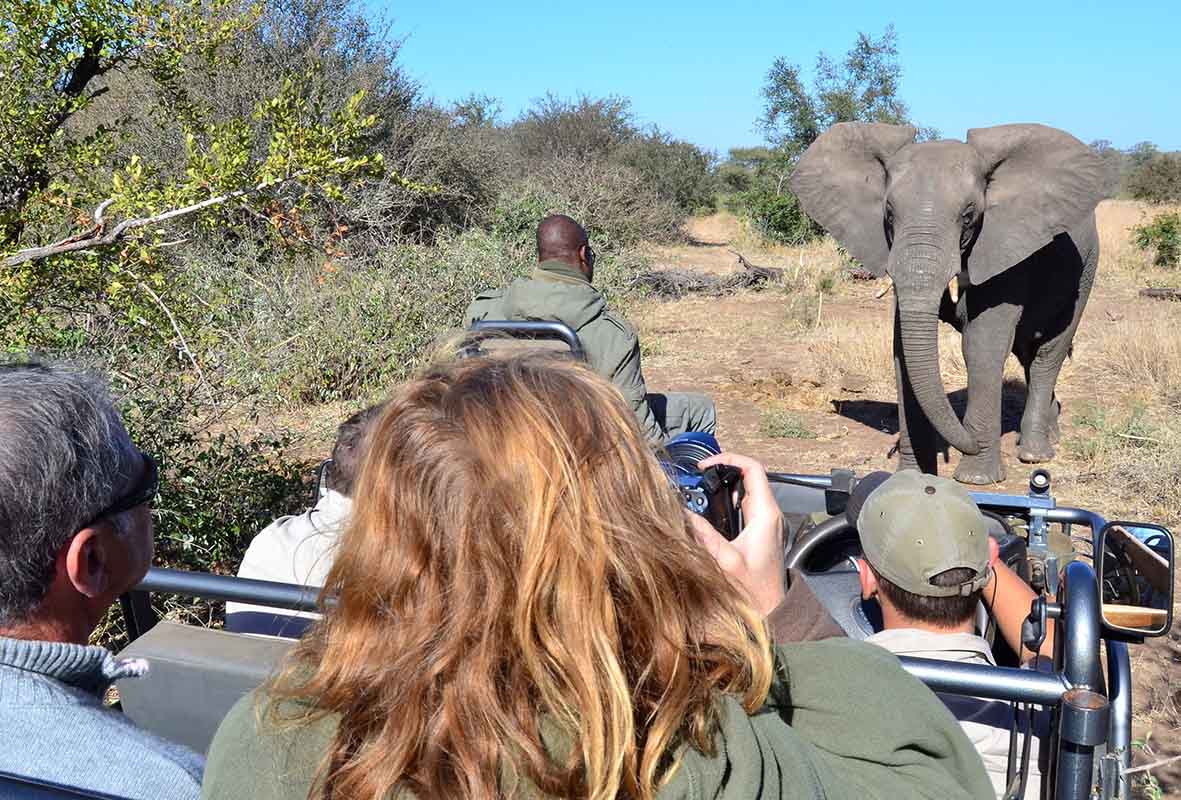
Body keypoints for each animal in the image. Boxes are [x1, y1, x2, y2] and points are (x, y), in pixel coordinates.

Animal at [791, 123, 1107, 484]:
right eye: (889, 213)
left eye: (969, 215)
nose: (965, 442)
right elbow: (903, 350)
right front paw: (913, 478)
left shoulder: (1004, 247)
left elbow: (981, 346)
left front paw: (975, 479)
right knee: (1028, 352)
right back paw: (1050, 433)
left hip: (1087, 268)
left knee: (1048, 353)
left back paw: (1033, 454)